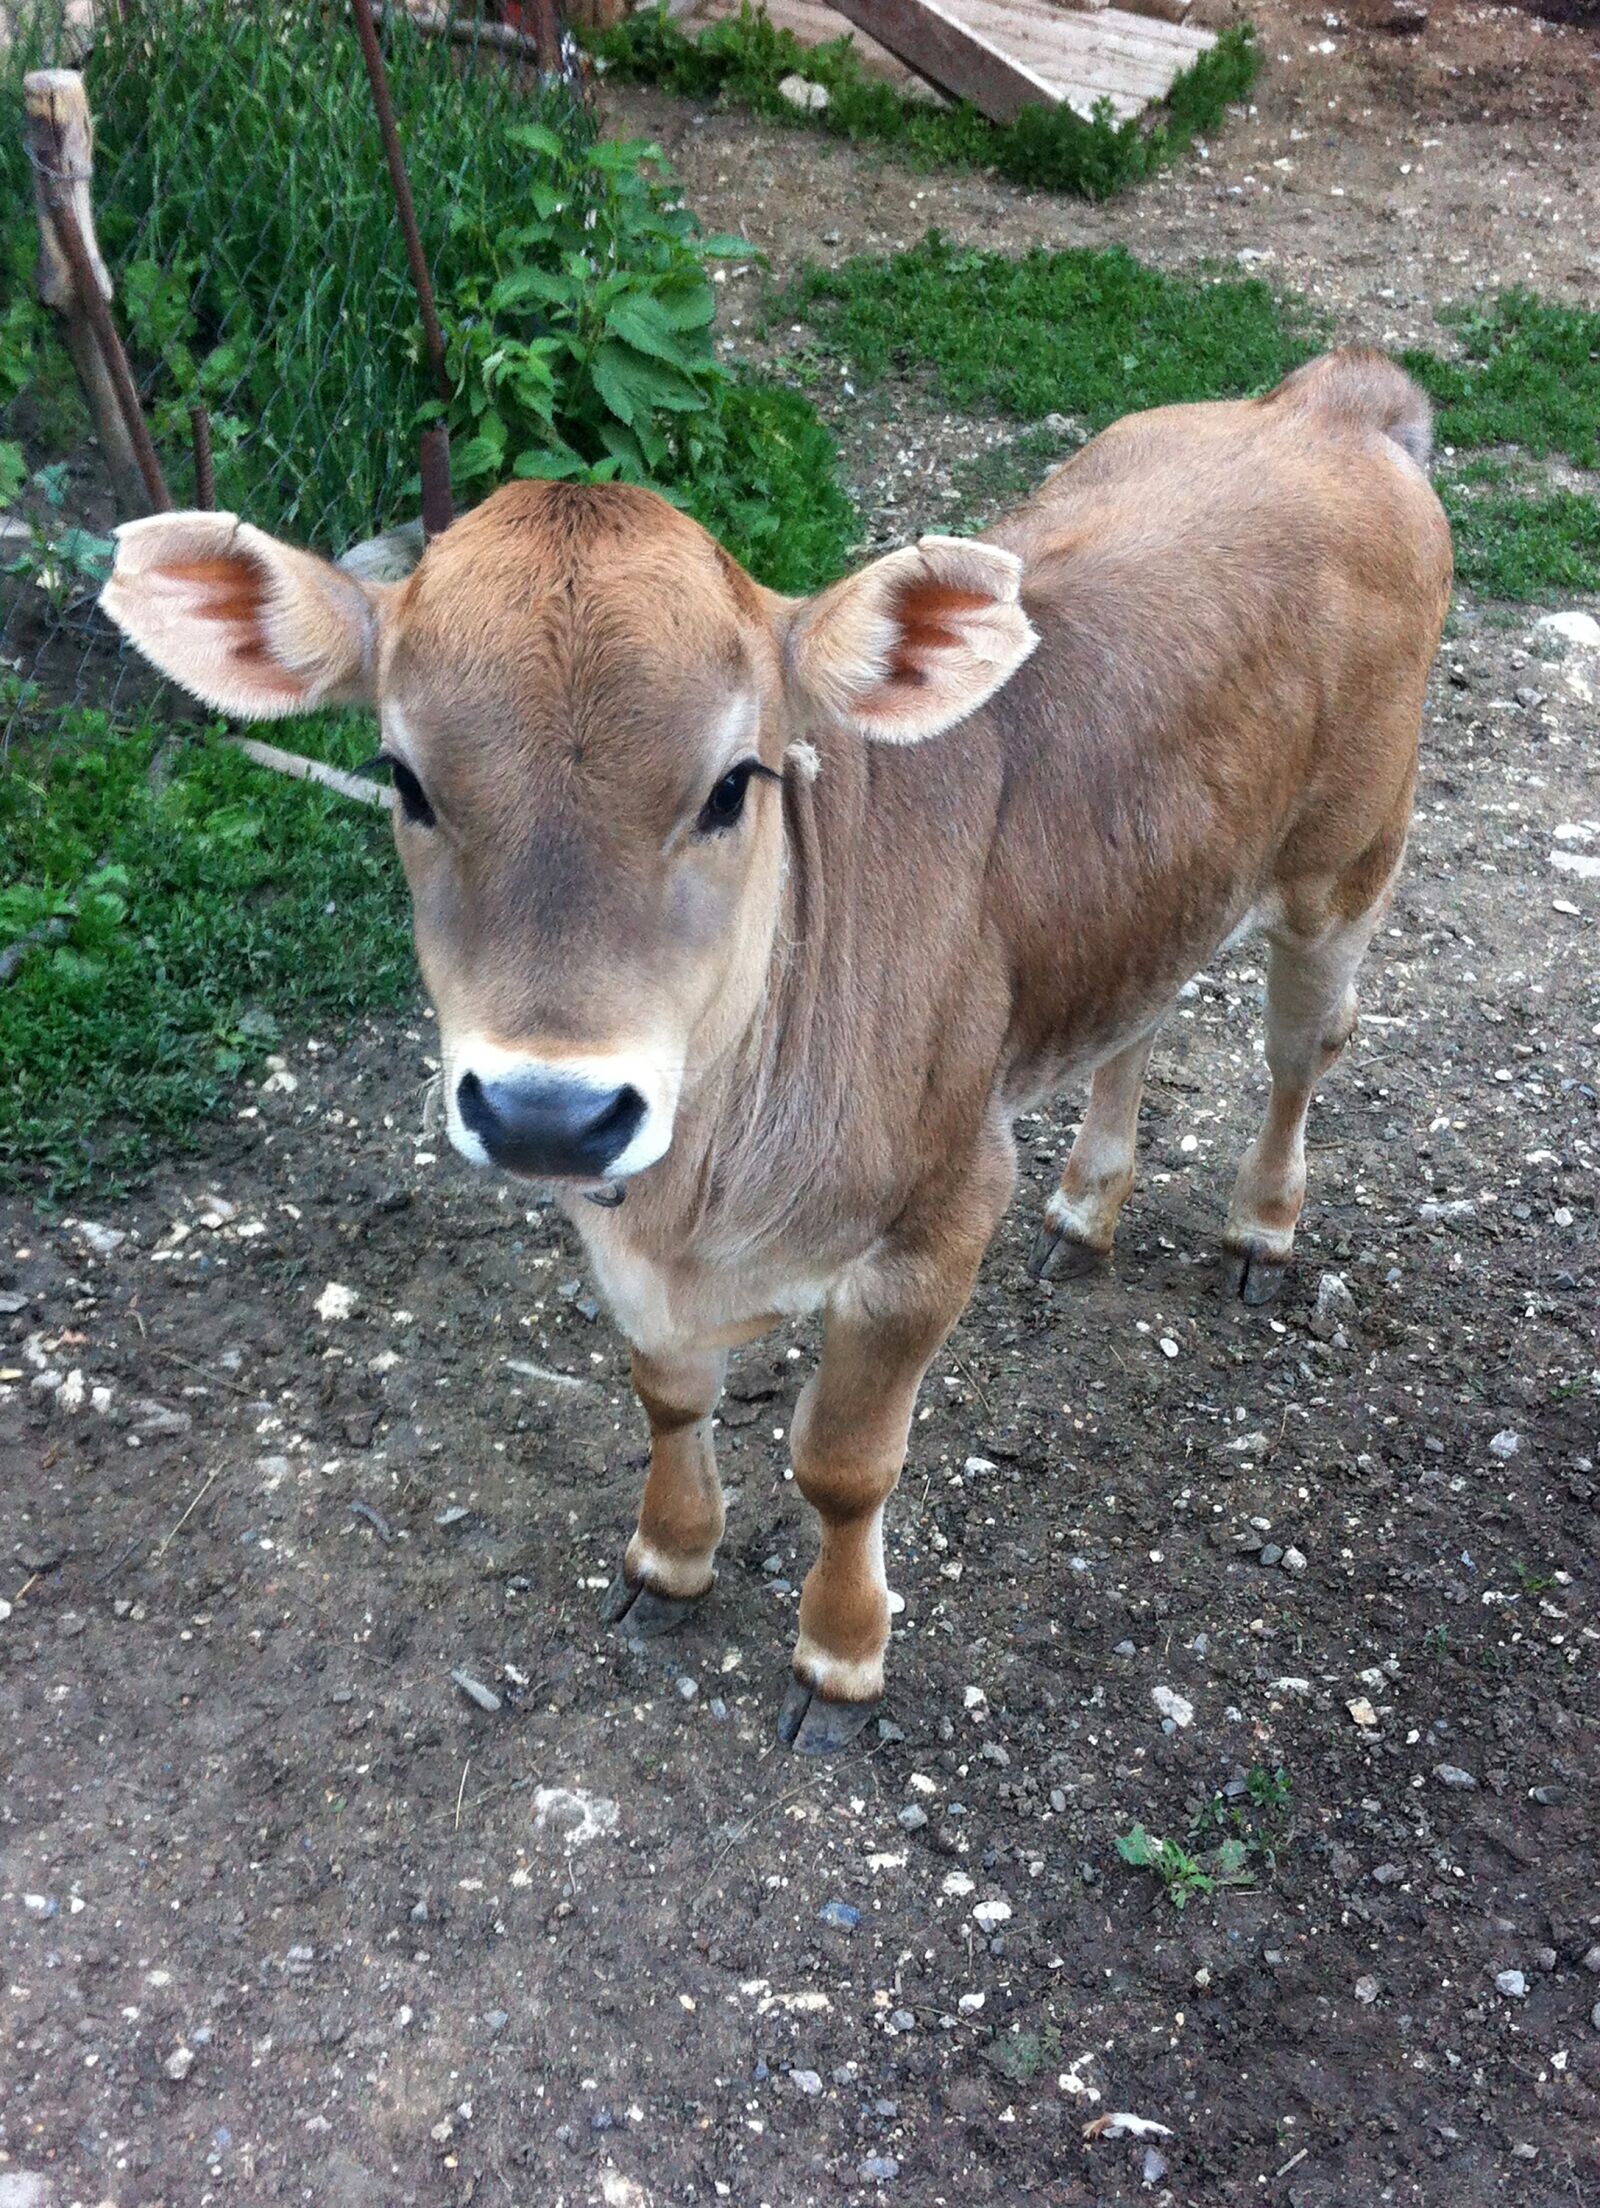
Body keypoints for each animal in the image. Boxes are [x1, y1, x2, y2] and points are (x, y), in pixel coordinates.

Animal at [99, 353, 1447, 1748]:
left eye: (732, 784)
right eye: (405, 779)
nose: (543, 1110)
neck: (705, 1186)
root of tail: (1331, 401)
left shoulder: (941, 1210)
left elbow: (844, 1466)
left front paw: (839, 1657)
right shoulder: (621, 1233)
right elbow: (668, 1398)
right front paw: (669, 1560)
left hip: (1350, 857)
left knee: (1301, 1049)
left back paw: (1260, 1230)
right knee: (1143, 1017)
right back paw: (1085, 1211)